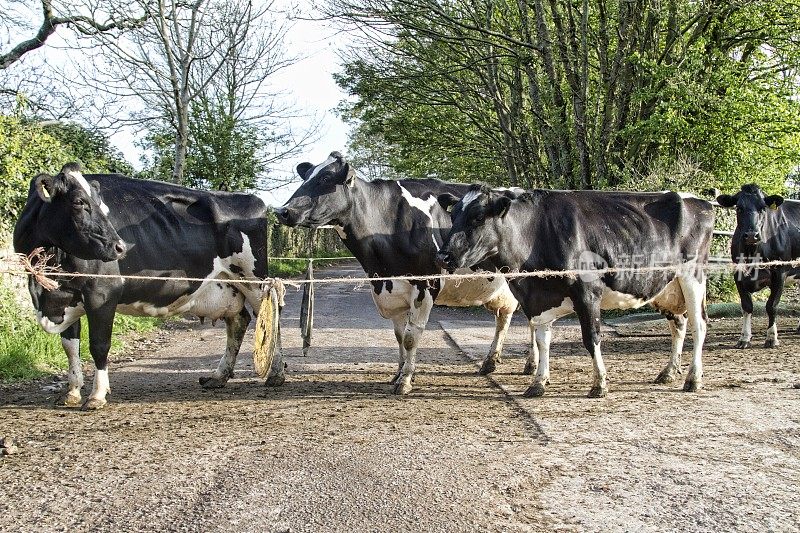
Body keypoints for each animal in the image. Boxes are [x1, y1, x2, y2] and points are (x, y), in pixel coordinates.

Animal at [12, 161, 282, 408]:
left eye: (101, 204)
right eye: (78, 202)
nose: (119, 247)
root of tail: (251, 200)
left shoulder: (102, 292)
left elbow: (99, 344)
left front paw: (97, 395)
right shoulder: (64, 297)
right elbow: (70, 346)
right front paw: (72, 392)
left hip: (253, 279)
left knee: (270, 317)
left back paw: (276, 374)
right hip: (227, 285)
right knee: (238, 321)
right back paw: (219, 376)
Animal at [276, 152, 532, 392]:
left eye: (326, 178)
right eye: (306, 177)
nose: (282, 211)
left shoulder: (424, 286)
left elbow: (410, 337)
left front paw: (406, 380)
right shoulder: (392, 291)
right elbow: (399, 336)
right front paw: (398, 373)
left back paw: (530, 364)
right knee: (504, 318)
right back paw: (491, 362)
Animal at [434, 185, 716, 396]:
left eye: (478, 217)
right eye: (454, 216)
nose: (443, 256)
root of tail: (700, 200)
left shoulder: (587, 292)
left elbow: (591, 338)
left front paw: (599, 384)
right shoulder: (537, 300)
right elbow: (542, 340)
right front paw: (538, 382)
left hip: (693, 276)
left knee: (699, 324)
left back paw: (693, 379)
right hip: (667, 286)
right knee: (679, 323)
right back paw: (668, 372)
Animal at [716, 184, 800, 350]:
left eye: (762, 208)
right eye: (739, 208)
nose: (751, 235)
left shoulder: (780, 273)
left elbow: (771, 306)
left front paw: (772, 338)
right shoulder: (738, 274)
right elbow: (746, 306)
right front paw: (744, 338)